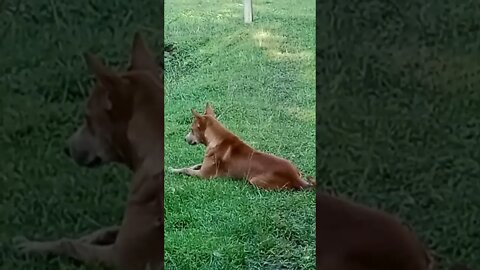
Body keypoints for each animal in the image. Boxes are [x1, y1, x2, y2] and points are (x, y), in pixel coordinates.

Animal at [14, 32, 164, 270]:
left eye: (87, 117)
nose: (66, 148)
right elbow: (102, 230)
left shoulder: (121, 258)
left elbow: (69, 244)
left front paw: (33, 248)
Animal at [169, 103, 316, 190]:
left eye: (191, 129)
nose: (184, 138)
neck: (216, 138)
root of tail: (296, 178)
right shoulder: (202, 166)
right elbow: (190, 166)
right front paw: (173, 168)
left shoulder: (204, 175)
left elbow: (187, 170)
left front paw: (173, 170)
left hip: (254, 180)